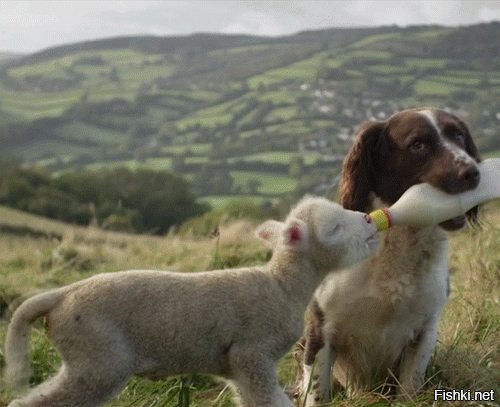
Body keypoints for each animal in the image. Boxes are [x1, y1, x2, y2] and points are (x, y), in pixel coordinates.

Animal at [2, 196, 378, 406]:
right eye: (334, 228)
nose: (369, 220)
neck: (281, 286)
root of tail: (61, 294)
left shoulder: (236, 368)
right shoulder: (252, 353)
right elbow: (273, 400)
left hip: (86, 360)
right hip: (98, 359)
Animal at [294, 107, 482, 406]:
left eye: (459, 136)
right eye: (418, 144)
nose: (473, 172)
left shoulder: (425, 330)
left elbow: (410, 388)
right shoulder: (322, 330)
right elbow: (317, 392)